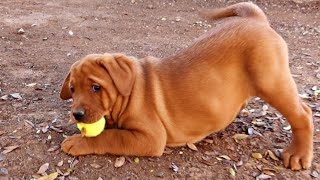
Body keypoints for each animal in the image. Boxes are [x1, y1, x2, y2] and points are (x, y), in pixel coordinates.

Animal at [60, 1, 312, 170]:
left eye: (96, 88)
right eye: (72, 89)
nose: (77, 114)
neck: (128, 93)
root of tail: (254, 19)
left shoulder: (150, 137)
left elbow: (110, 136)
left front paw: (77, 142)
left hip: (272, 81)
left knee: (303, 114)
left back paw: (298, 155)